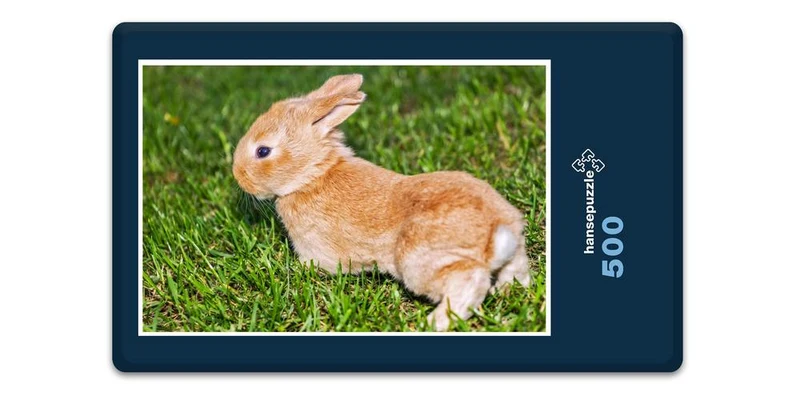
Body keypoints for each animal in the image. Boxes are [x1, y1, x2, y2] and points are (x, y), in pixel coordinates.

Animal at [232, 74, 532, 331]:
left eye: (263, 151)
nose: (238, 174)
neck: (313, 175)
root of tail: (497, 231)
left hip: (419, 262)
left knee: (468, 284)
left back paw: (433, 322)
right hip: (511, 252)